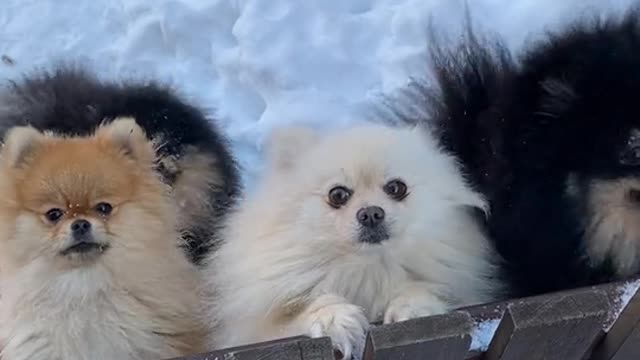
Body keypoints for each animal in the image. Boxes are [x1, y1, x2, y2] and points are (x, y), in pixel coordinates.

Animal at [202, 123, 502, 358]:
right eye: (338, 195)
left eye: (396, 188)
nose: (371, 213)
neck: (366, 268)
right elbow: (300, 316)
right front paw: (336, 320)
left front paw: (414, 309)